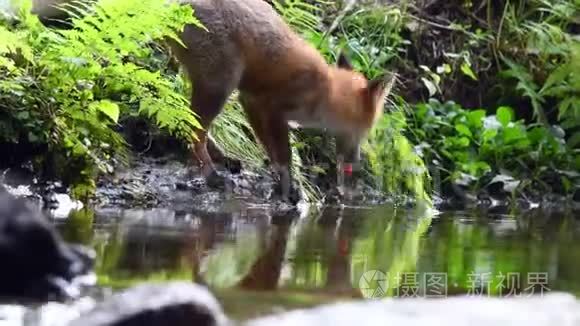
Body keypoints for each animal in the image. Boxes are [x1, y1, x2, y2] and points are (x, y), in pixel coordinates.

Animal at [168, 0, 394, 202]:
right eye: (366, 131)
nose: (356, 163)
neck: (325, 92)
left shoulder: (250, 101)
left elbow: (271, 150)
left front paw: (279, 181)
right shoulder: (271, 108)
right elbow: (284, 154)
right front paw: (289, 187)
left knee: (193, 125)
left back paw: (221, 158)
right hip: (220, 86)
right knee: (195, 133)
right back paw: (211, 174)